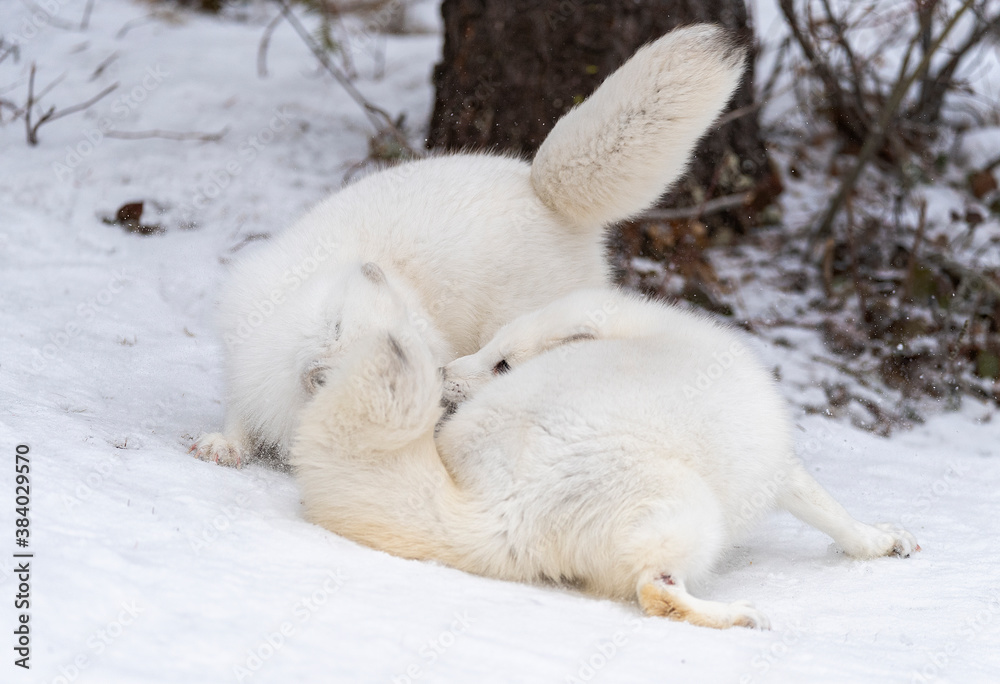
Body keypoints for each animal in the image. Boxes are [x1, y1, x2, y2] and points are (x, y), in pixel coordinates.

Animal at [193, 24, 748, 466]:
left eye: (415, 345)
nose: (442, 379)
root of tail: (537, 187)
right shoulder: (244, 354)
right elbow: (238, 409)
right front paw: (223, 444)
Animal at [291, 287, 918, 629]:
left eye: (501, 362)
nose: (443, 372)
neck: (652, 333)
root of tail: (491, 510)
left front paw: (888, 541)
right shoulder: (777, 466)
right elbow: (832, 514)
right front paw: (877, 542)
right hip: (691, 506)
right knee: (653, 594)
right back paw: (740, 616)